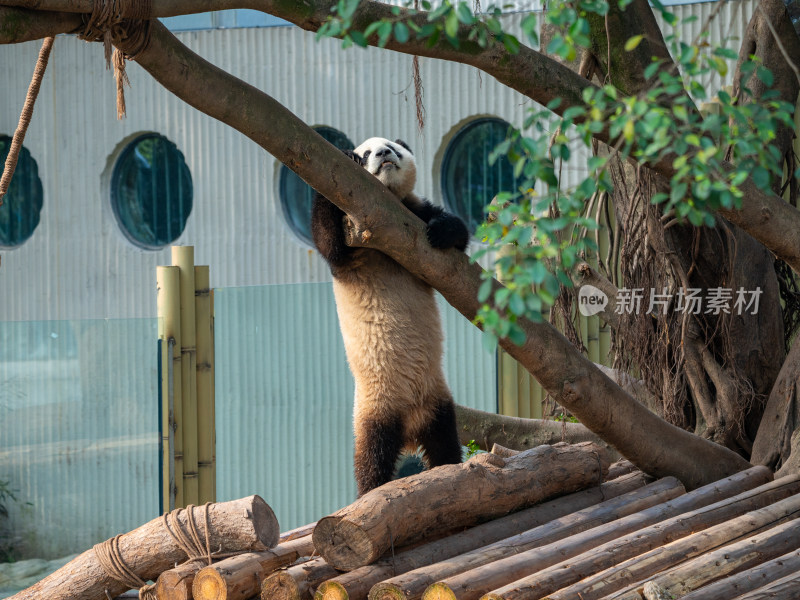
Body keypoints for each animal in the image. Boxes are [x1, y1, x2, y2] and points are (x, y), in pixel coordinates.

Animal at [310, 137, 468, 496]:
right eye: (367, 153)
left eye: (393, 146)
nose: (383, 155)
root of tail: (409, 427)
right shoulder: (352, 238)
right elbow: (329, 242)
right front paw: (343, 156)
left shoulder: (413, 211)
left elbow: (457, 234)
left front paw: (441, 231)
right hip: (374, 407)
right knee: (372, 455)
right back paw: (370, 490)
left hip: (436, 400)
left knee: (444, 439)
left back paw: (449, 467)